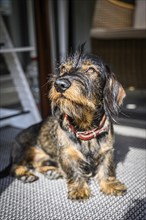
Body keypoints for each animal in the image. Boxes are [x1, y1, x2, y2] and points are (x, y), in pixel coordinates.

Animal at [0, 47, 126, 200]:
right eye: (63, 68)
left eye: (90, 70)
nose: (59, 84)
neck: (85, 127)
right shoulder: (67, 153)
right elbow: (73, 170)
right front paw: (79, 189)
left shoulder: (107, 151)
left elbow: (107, 169)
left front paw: (110, 185)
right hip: (22, 150)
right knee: (14, 167)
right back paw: (24, 174)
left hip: (44, 158)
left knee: (38, 164)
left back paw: (51, 171)